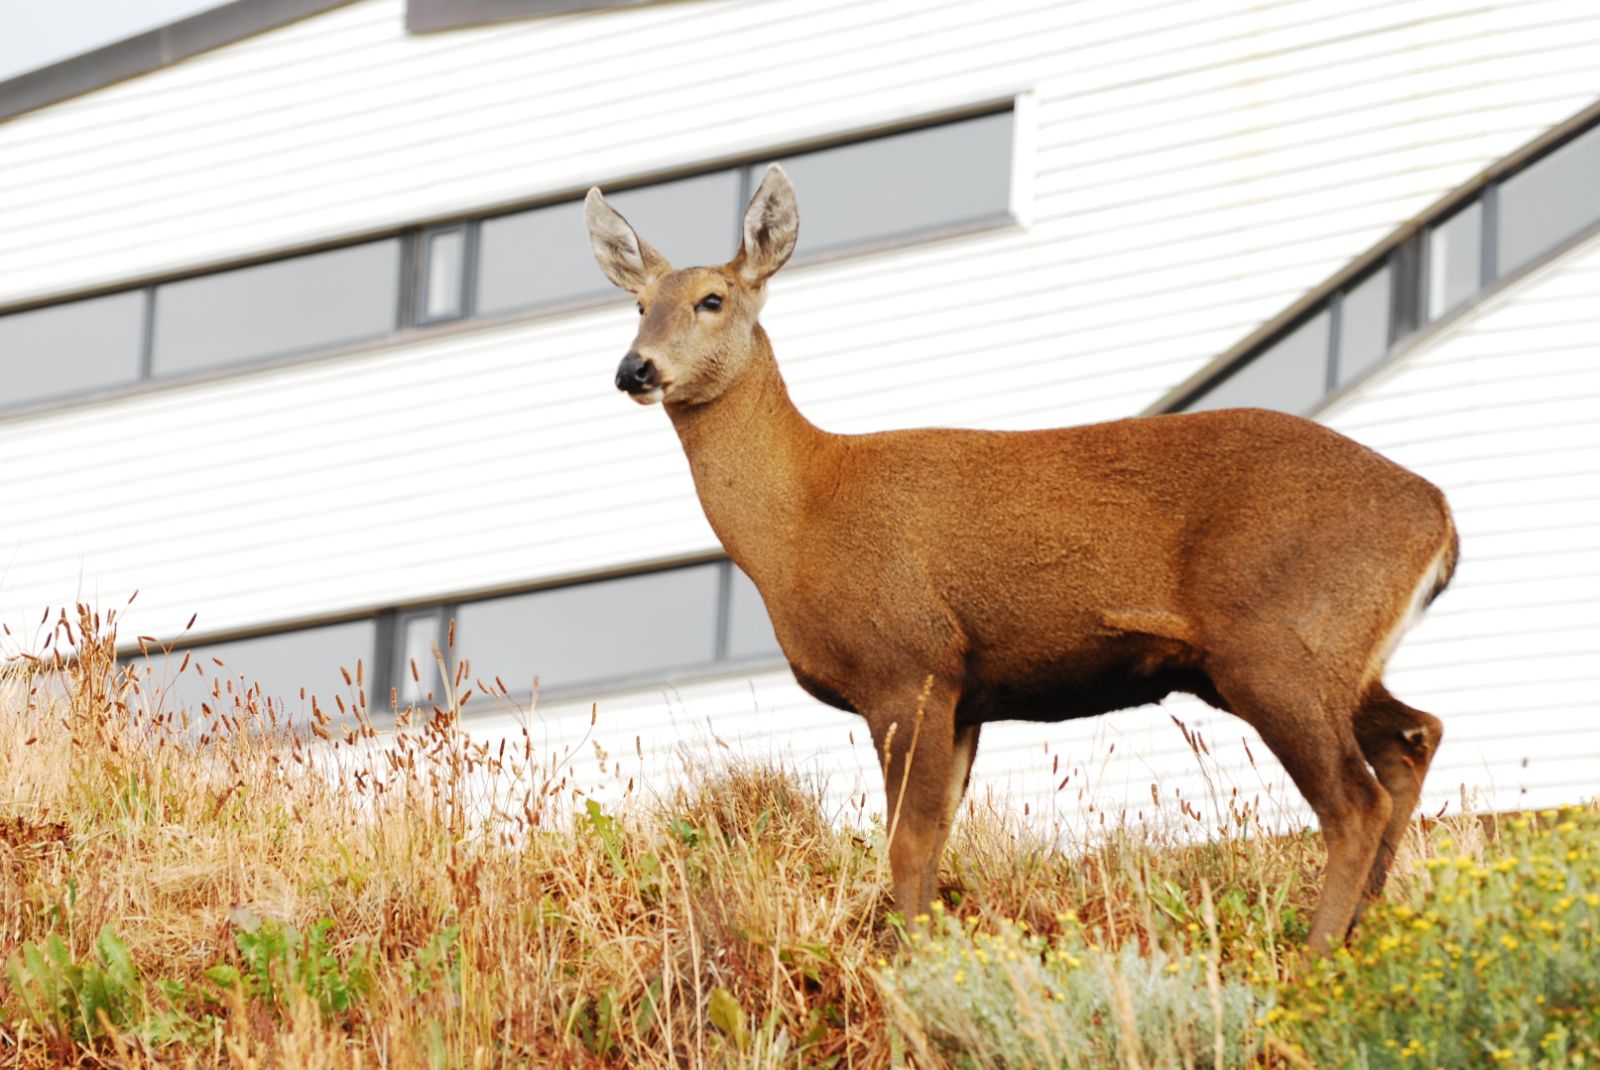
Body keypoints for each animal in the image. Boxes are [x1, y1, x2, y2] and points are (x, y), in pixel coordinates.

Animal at [583, 164, 1457, 951]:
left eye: (712, 299)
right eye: (638, 304)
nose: (634, 368)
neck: (802, 518)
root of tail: (1440, 518)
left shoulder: (907, 663)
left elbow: (906, 844)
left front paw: (916, 975)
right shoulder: (968, 693)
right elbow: (934, 842)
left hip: (1278, 641)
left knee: (1354, 801)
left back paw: (1315, 959)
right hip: (1315, 655)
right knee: (1415, 736)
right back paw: (1363, 933)